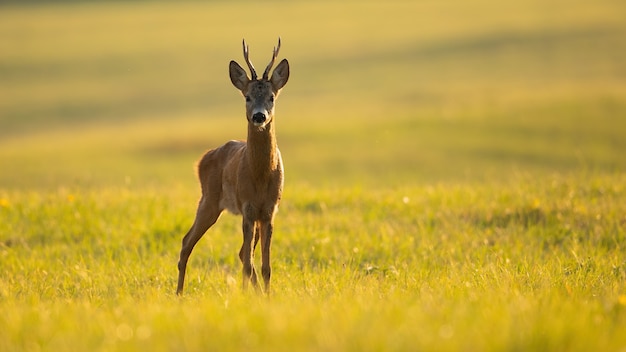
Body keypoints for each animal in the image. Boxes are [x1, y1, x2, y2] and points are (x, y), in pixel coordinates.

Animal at [174, 38, 288, 296]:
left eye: (272, 97)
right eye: (247, 97)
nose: (259, 116)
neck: (260, 176)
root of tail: (203, 159)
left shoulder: (269, 210)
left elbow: (265, 266)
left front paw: (267, 297)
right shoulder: (247, 207)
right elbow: (249, 262)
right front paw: (250, 296)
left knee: (242, 254)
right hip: (209, 199)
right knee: (186, 242)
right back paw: (179, 294)